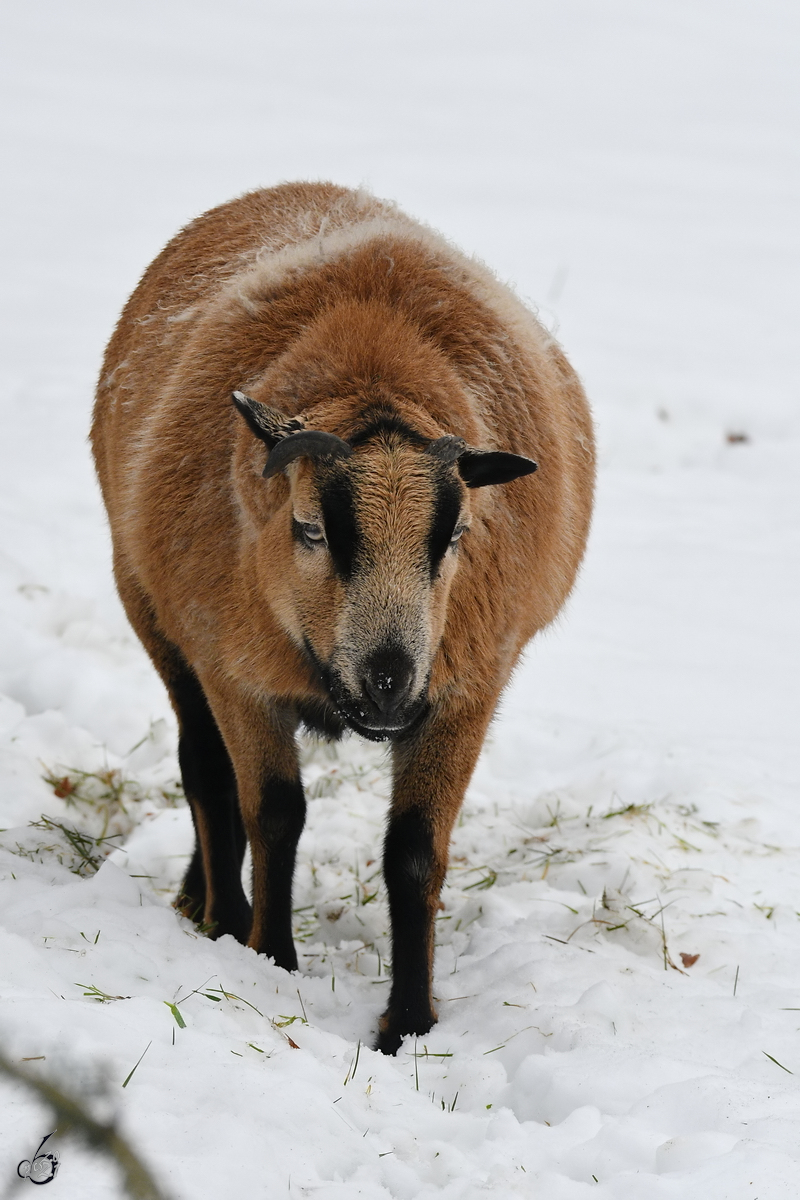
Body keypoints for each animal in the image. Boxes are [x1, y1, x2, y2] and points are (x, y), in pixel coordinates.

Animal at [92, 182, 594, 1056]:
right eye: (309, 530)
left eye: (455, 535)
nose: (387, 681)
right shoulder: (237, 671)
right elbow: (272, 814)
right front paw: (266, 958)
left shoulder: (467, 687)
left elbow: (415, 854)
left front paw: (410, 1024)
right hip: (151, 608)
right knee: (204, 770)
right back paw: (214, 910)